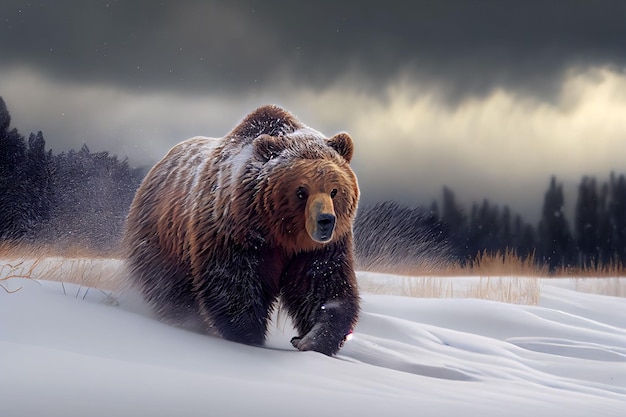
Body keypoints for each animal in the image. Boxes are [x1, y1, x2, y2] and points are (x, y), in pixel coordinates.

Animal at [124, 104, 358, 354]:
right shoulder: (235, 230)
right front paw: (247, 335)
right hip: (162, 238)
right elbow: (234, 282)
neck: (280, 232)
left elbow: (323, 286)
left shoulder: (320, 248)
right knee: (167, 284)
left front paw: (312, 339)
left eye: (335, 190)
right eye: (301, 191)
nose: (326, 220)